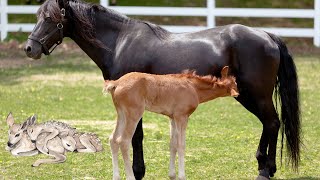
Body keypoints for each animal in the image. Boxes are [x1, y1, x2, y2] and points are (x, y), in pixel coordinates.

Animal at [104, 66, 239, 180]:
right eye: (236, 84)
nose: (238, 93)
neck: (194, 88)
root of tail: (116, 83)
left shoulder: (173, 118)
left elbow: (172, 144)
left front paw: (172, 175)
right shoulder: (182, 116)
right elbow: (181, 145)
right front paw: (182, 176)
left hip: (121, 113)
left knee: (113, 139)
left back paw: (116, 177)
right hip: (134, 112)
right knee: (123, 140)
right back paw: (130, 177)